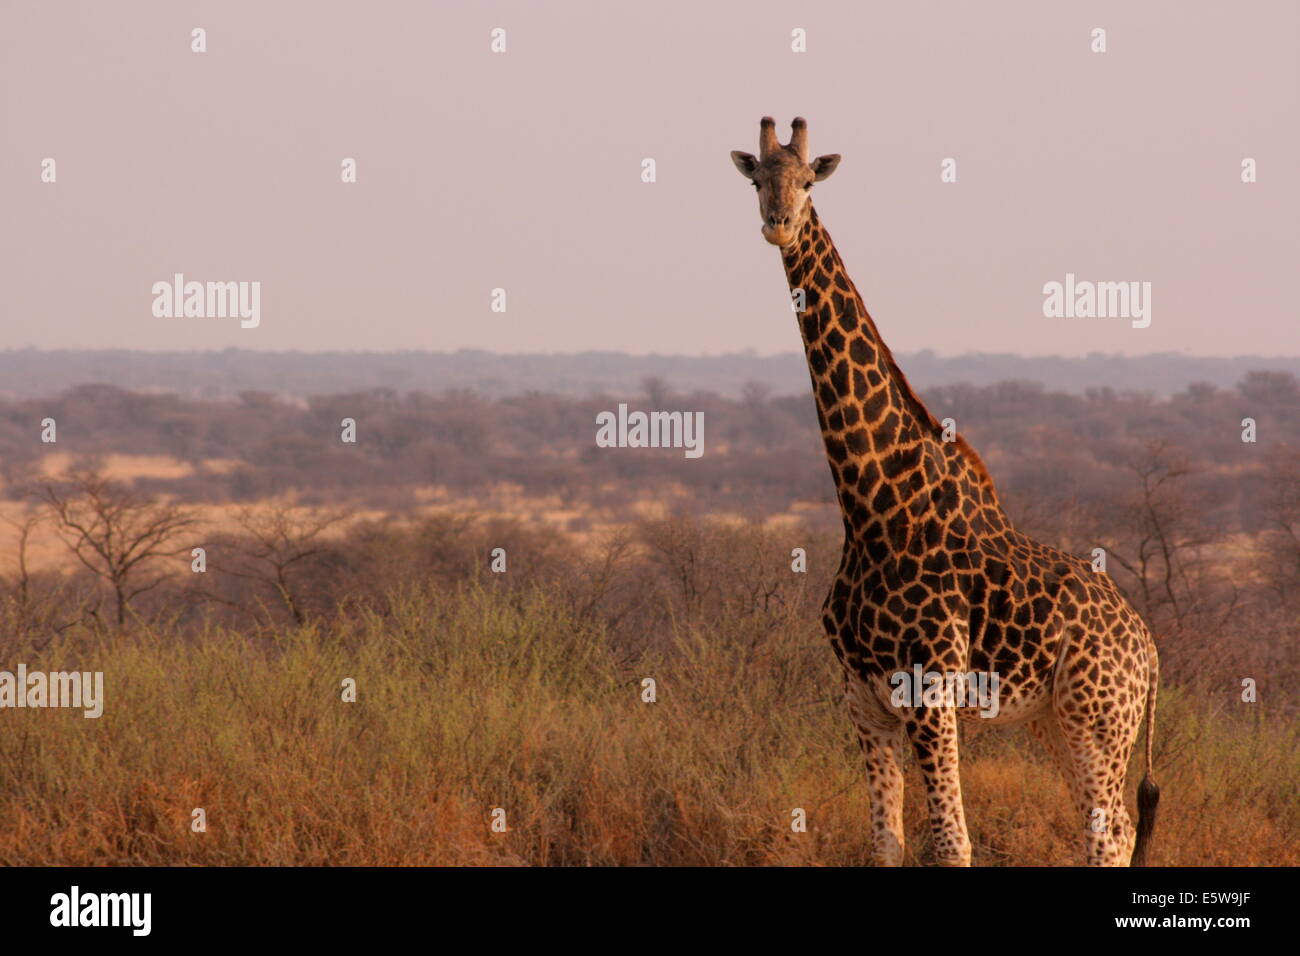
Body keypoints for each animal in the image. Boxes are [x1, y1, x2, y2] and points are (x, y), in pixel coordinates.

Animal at [728, 117, 1164, 868]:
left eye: (809, 180)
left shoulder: (931, 696)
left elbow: (953, 845)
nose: (779, 224)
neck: (872, 507)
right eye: (758, 178)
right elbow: (887, 844)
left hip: (1101, 719)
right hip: (1055, 721)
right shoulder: (864, 701)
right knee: (1110, 831)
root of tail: (1149, 647)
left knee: (1108, 836)